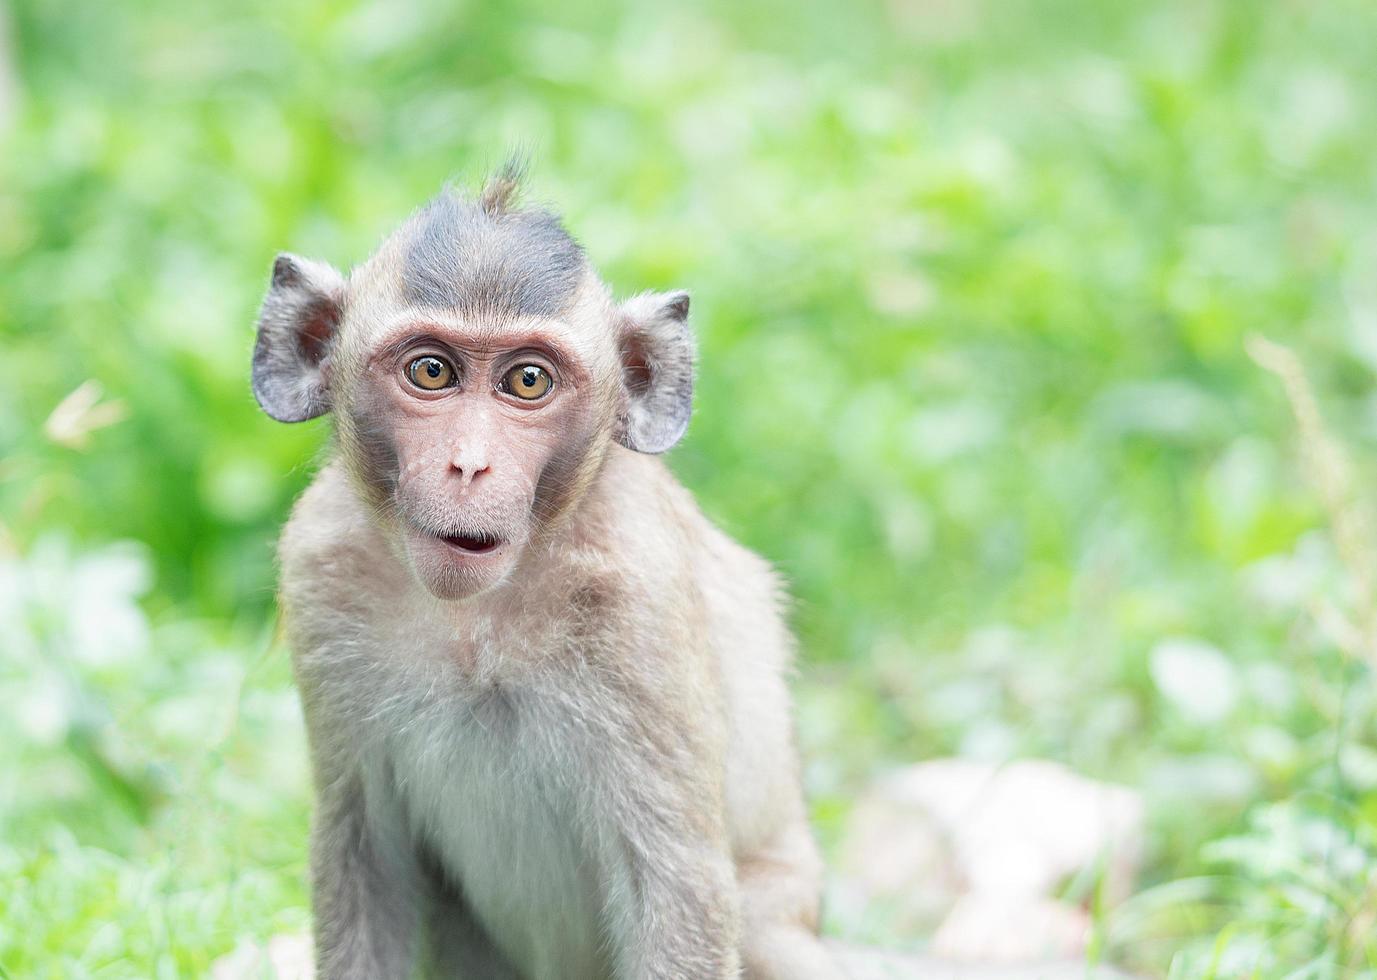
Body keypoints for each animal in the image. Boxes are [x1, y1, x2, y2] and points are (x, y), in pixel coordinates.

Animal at [251, 168, 842, 980]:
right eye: (430, 371)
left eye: (528, 381)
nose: (469, 464)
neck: (476, 617)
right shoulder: (322, 567)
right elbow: (366, 860)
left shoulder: (639, 596)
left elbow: (673, 888)